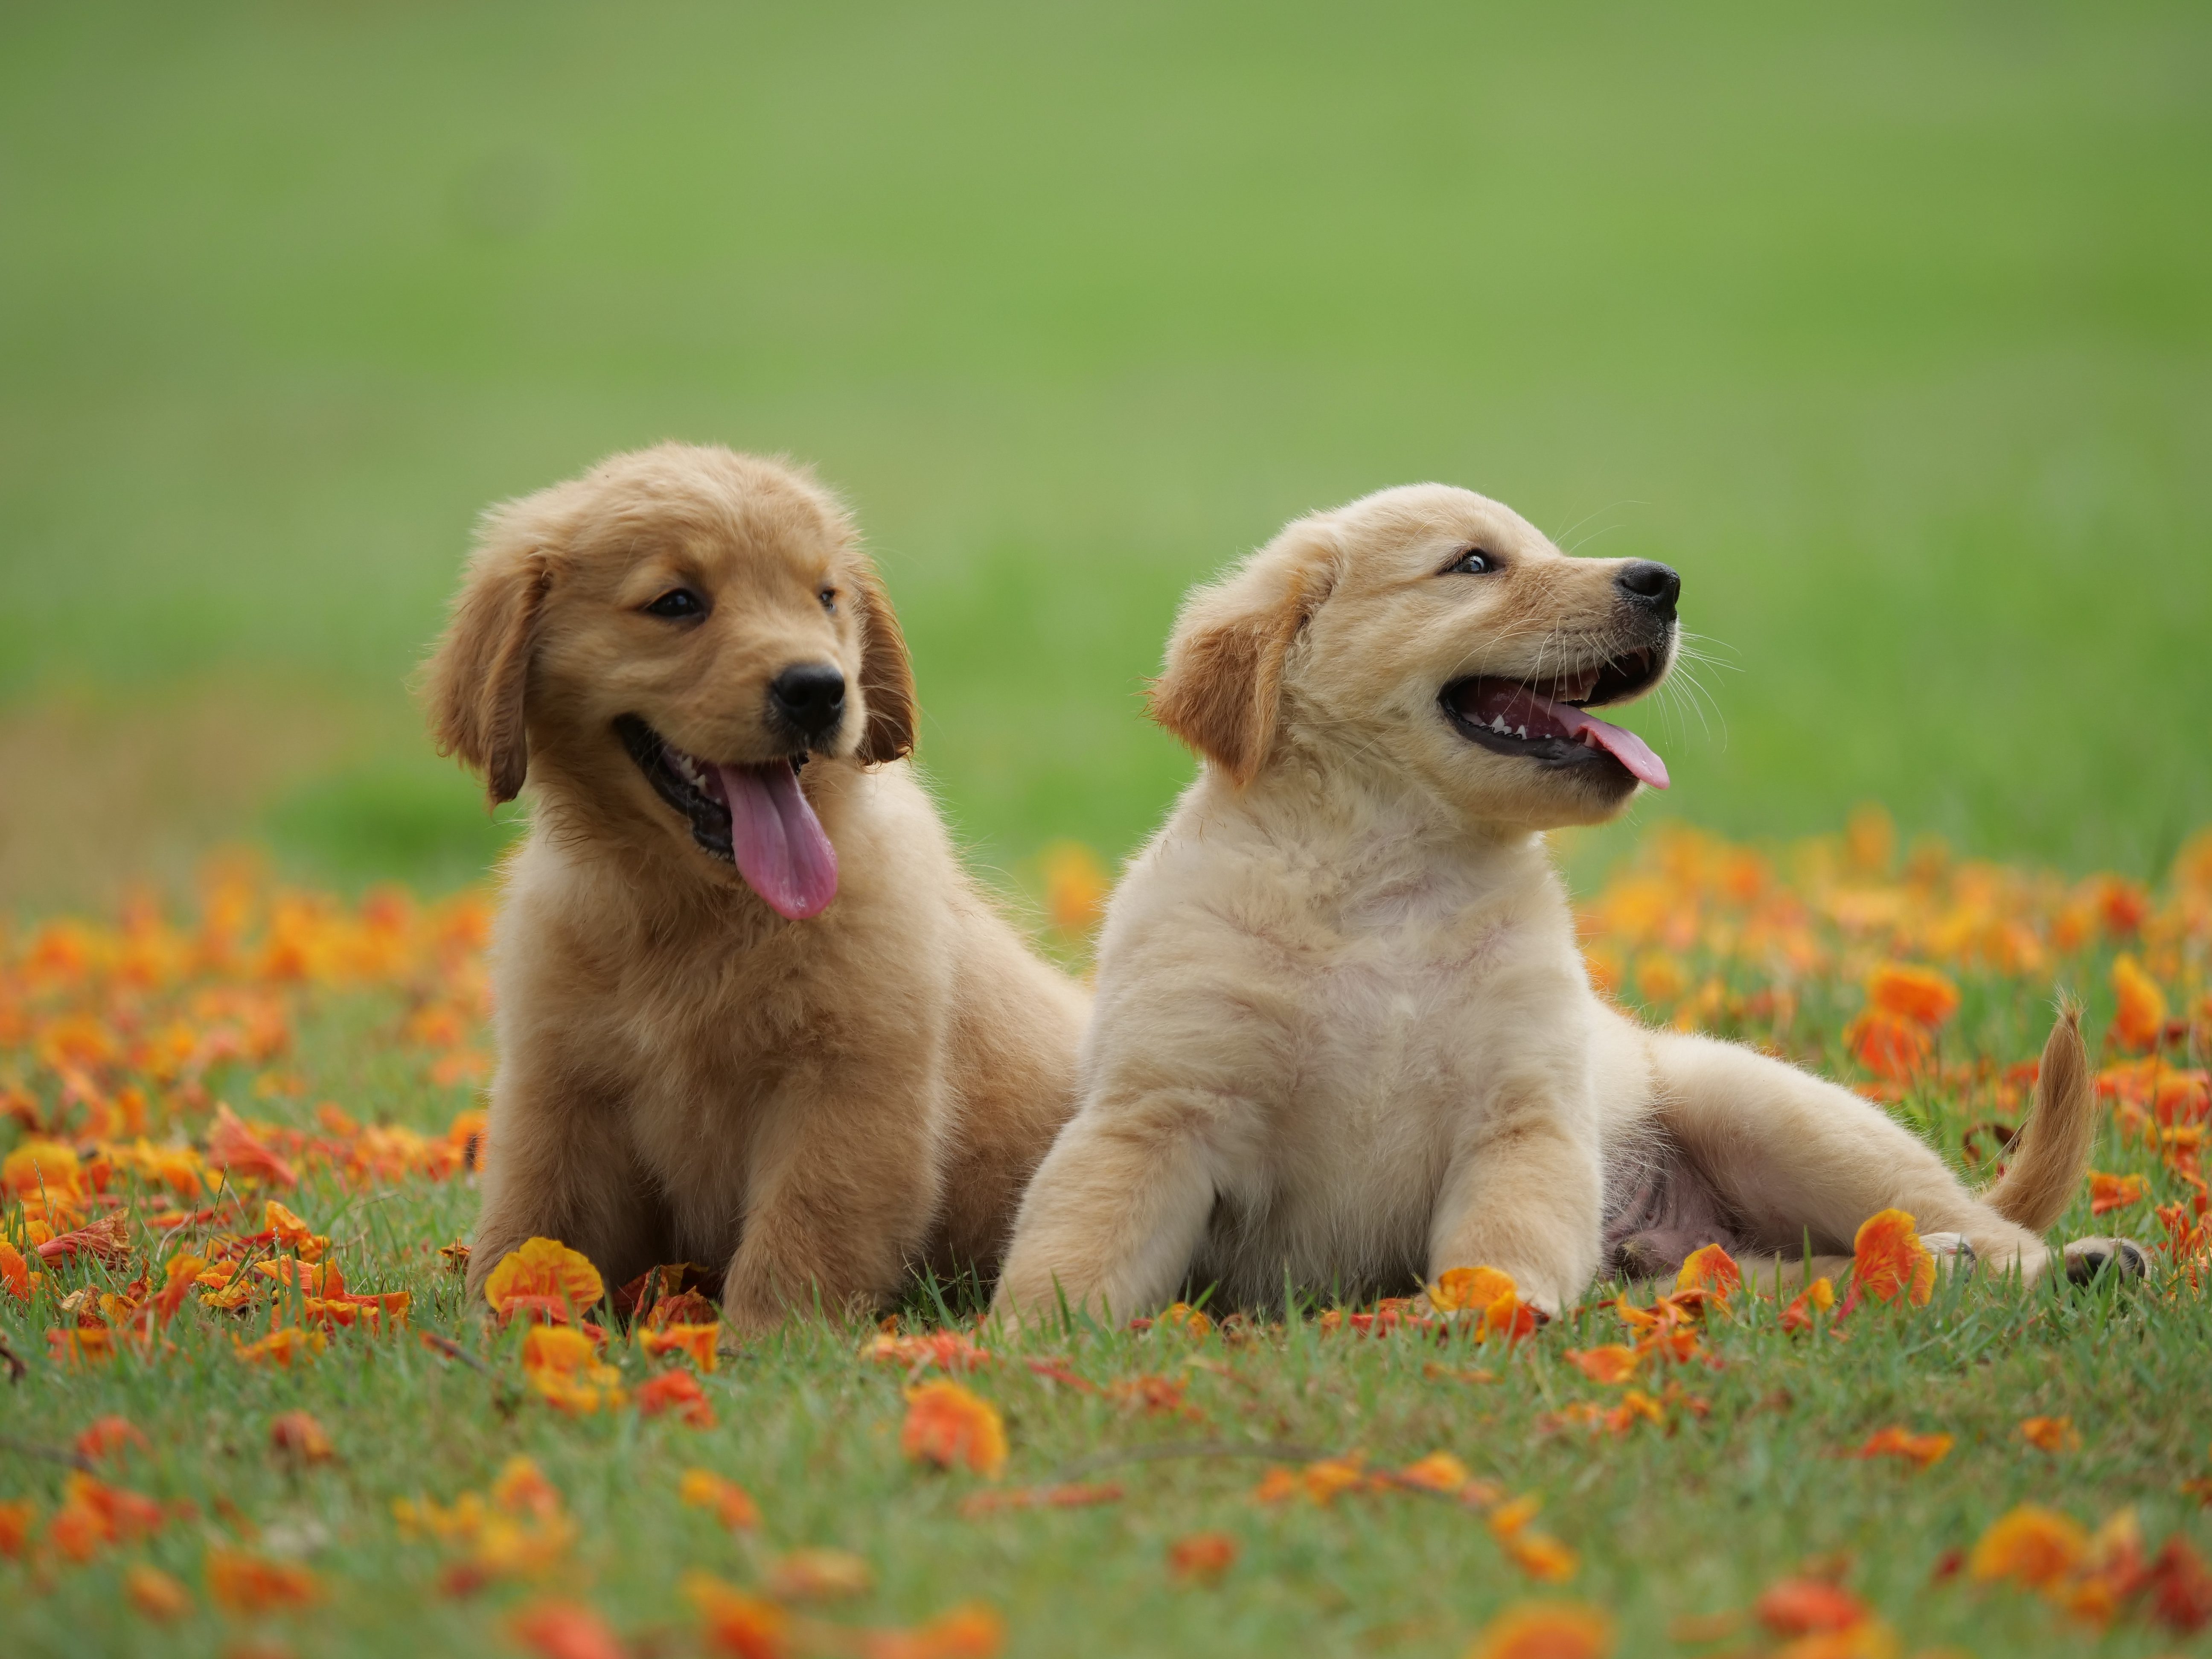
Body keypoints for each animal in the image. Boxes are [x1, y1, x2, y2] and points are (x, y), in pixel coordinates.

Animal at [422, 444, 1088, 1336]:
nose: (819, 689)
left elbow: (801, 1229)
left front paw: (767, 1342)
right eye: (676, 602)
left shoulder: (847, 1089)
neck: (695, 908)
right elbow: (533, 1221)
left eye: (825, 597)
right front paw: (501, 1328)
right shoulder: (559, 1087)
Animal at [995, 480, 2132, 1327]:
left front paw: (1490, 1312)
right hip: (1695, 1259)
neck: (1388, 877)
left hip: (1779, 1116)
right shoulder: (1156, 1111)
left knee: (1976, 1224)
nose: (1663, 582)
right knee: (1790, 1273)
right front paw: (1028, 1342)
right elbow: (1077, 1243)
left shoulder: (1524, 1109)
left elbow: (1504, 1237)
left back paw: (2065, 1260)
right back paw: (1944, 1268)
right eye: (1473, 564)